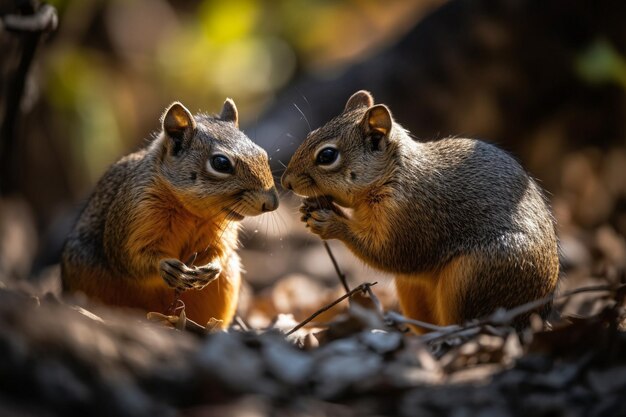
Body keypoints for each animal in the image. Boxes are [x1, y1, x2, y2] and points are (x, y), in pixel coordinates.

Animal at [61, 98, 276, 328]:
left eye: (263, 154)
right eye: (221, 163)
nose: (272, 203)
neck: (192, 212)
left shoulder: (220, 232)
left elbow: (220, 250)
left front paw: (212, 267)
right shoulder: (135, 213)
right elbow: (130, 256)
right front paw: (166, 267)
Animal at [280, 91, 560, 332]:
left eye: (327, 155)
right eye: (312, 133)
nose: (286, 182)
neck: (393, 176)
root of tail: (534, 316)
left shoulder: (412, 218)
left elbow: (390, 254)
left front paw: (331, 222)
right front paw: (310, 208)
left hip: (474, 277)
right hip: (413, 288)